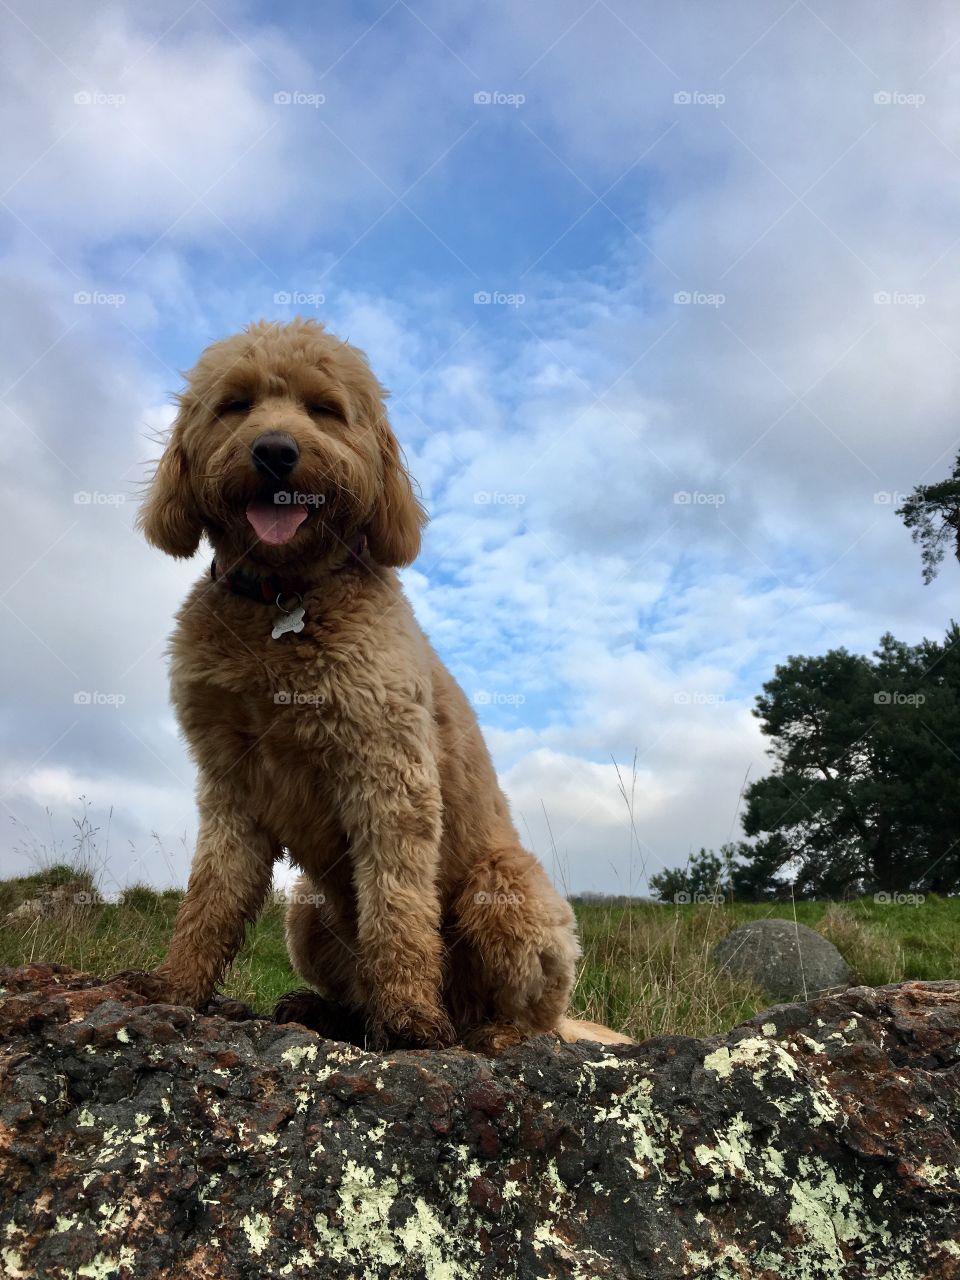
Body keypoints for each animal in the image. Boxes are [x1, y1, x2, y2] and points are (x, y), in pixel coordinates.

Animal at [135, 320, 632, 1049]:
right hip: (306, 910)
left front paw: (409, 1020)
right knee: (350, 981)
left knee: (525, 1014)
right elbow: (210, 897)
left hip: (505, 886)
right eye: (236, 404)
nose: (275, 451)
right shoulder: (230, 783)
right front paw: (174, 988)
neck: (285, 599)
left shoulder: (388, 774)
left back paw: (491, 1033)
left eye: (324, 409)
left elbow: (396, 908)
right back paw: (324, 1010)